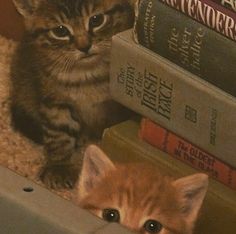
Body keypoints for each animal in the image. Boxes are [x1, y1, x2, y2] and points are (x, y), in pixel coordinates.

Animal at [10, 0, 135, 189]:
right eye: (60, 31)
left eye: (96, 20)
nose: (84, 46)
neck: (86, 74)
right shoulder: (54, 101)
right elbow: (58, 135)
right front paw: (60, 166)